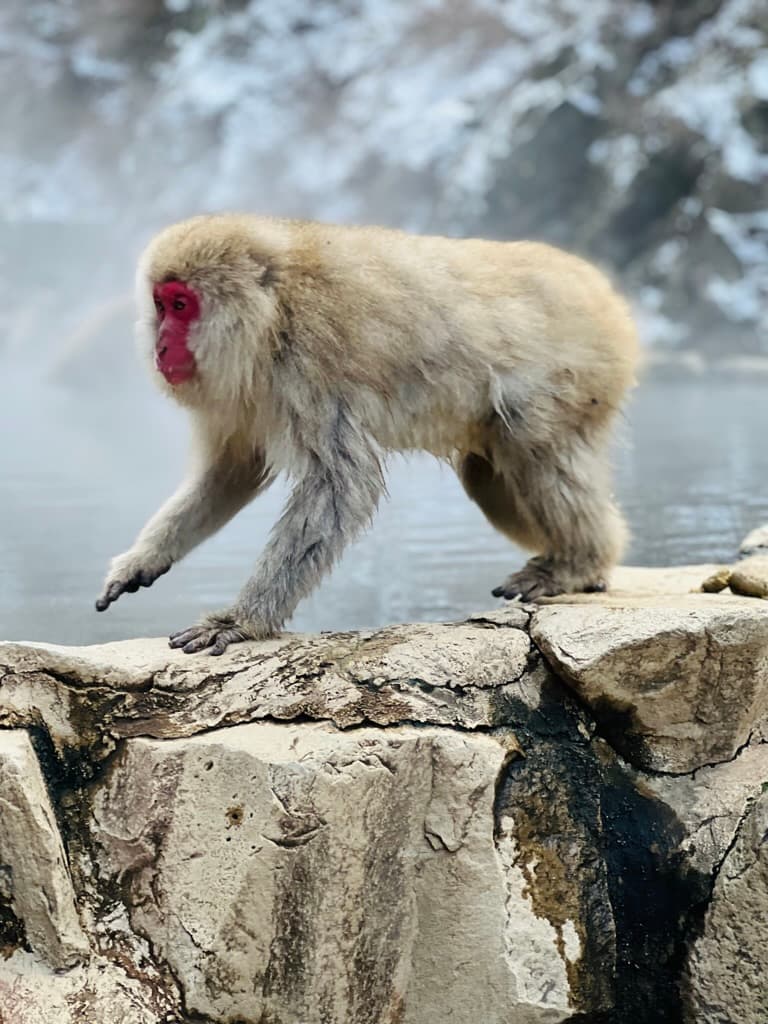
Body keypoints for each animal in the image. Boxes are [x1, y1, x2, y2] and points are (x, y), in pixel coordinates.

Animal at [95, 214, 639, 655]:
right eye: (160, 304)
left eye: (181, 305)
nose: (162, 348)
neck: (272, 312)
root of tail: (606, 295)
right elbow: (233, 470)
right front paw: (144, 559)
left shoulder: (310, 362)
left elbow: (340, 487)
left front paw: (240, 621)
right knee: (487, 474)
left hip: (578, 373)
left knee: (534, 445)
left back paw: (581, 562)